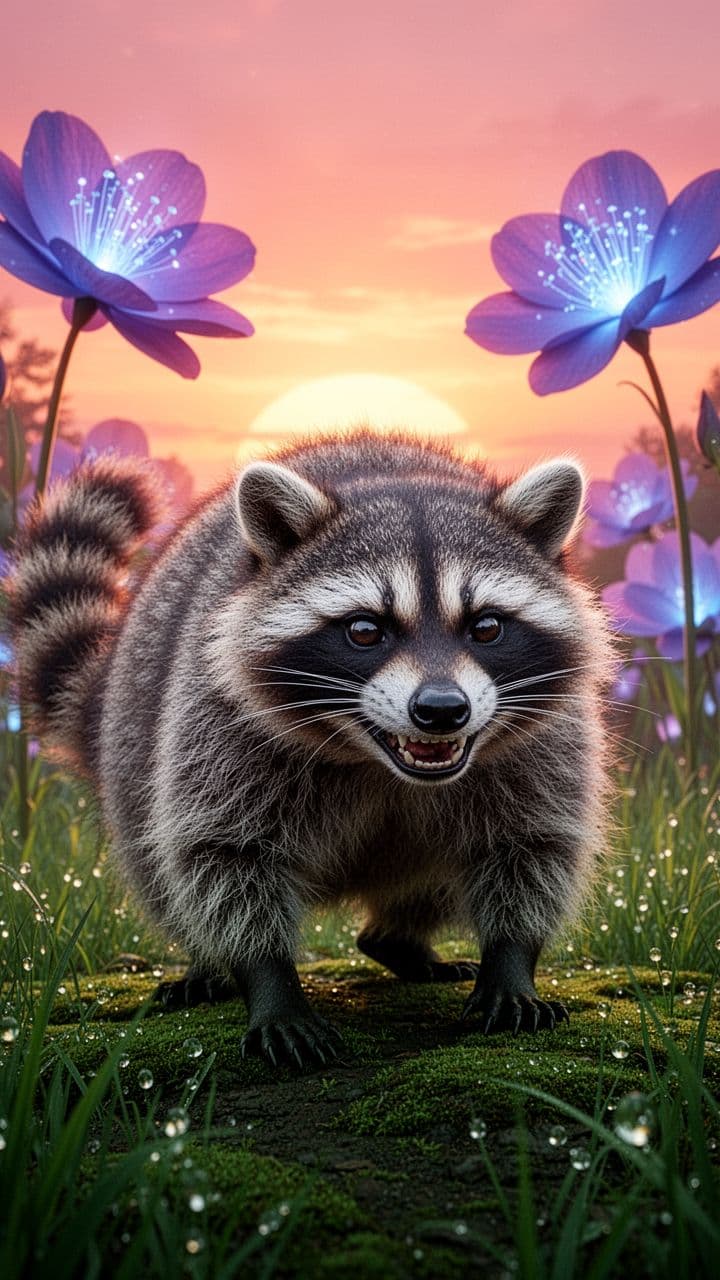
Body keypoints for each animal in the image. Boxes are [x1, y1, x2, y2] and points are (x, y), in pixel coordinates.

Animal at [11, 431, 612, 1067]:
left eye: (487, 627)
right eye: (366, 630)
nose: (443, 710)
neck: (380, 762)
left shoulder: (545, 743)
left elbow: (532, 846)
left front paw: (512, 959)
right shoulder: (217, 723)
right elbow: (224, 857)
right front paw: (269, 981)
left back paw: (397, 939)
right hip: (133, 740)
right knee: (162, 869)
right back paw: (206, 962)